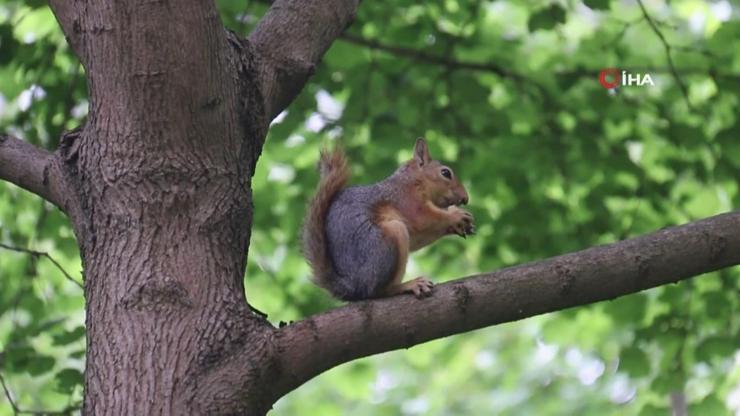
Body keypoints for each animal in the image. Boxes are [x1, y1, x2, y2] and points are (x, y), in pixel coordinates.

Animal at [300, 138, 474, 300]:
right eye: (445, 173)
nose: (465, 198)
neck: (412, 181)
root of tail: (353, 286)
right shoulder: (407, 200)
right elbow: (423, 219)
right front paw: (455, 216)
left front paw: (458, 221)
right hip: (387, 242)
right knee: (378, 291)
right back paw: (407, 285)